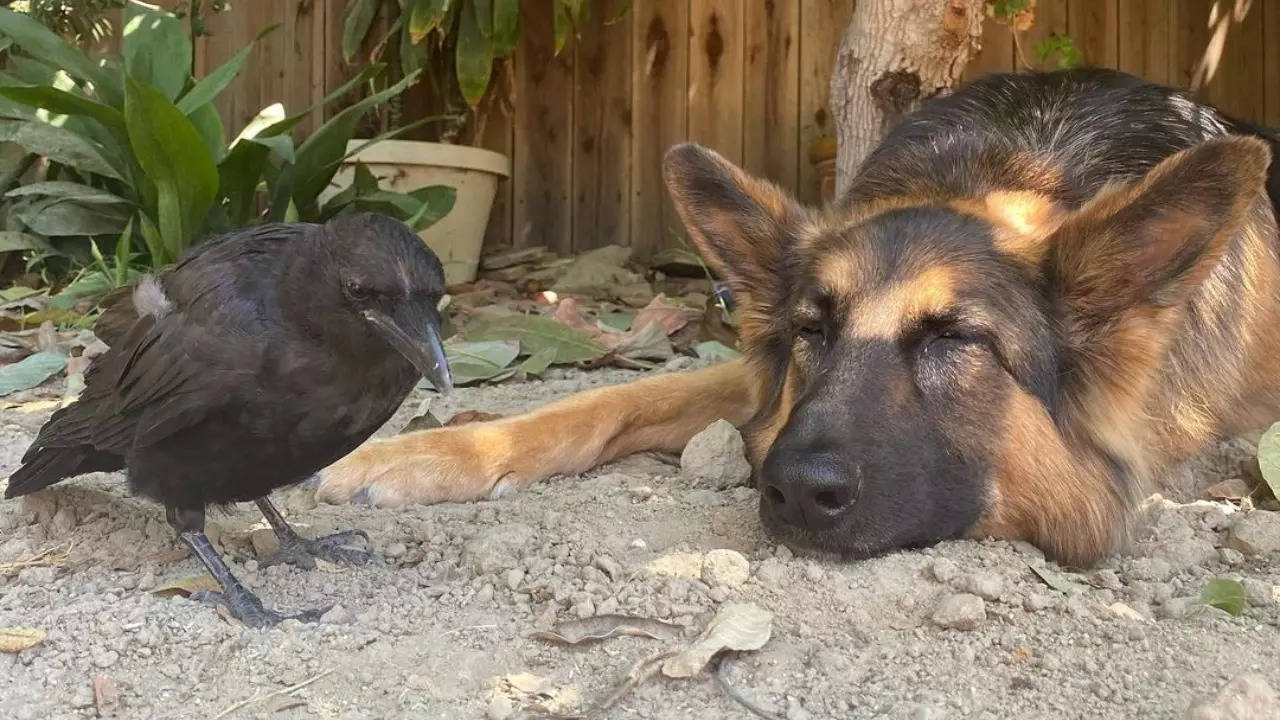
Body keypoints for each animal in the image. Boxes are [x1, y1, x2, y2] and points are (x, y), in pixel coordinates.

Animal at [314, 70, 1280, 568]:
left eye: (956, 340)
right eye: (814, 331)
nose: (789, 490)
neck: (1005, 169)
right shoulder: (756, 374)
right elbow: (601, 403)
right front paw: (427, 452)